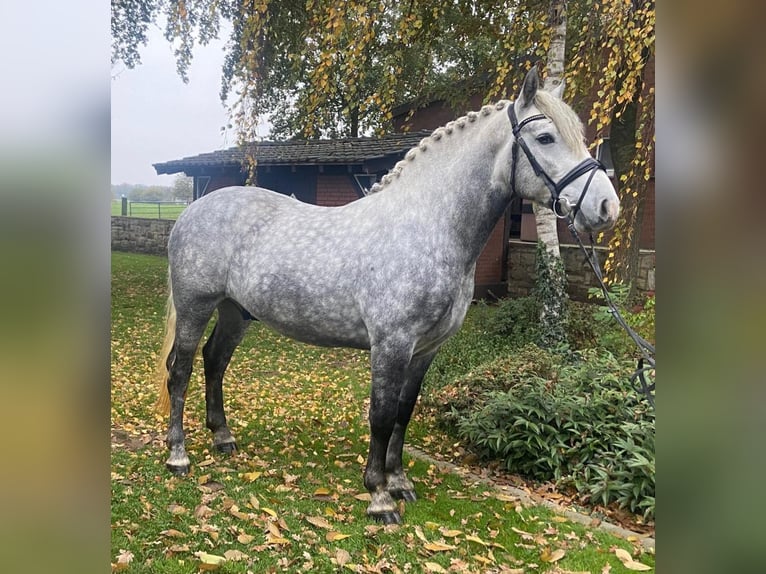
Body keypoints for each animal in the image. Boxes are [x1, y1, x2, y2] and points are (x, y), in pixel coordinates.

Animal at [154, 67, 616, 528]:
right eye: (546, 138)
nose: (606, 207)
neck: (427, 226)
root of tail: (191, 212)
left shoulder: (426, 349)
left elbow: (403, 412)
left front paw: (399, 482)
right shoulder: (391, 344)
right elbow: (380, 414)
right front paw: (379, 497)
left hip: (235, 311)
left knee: (215, 361)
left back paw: (222, 437)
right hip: (196, 306)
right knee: (181, 370)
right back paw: (178, 455)